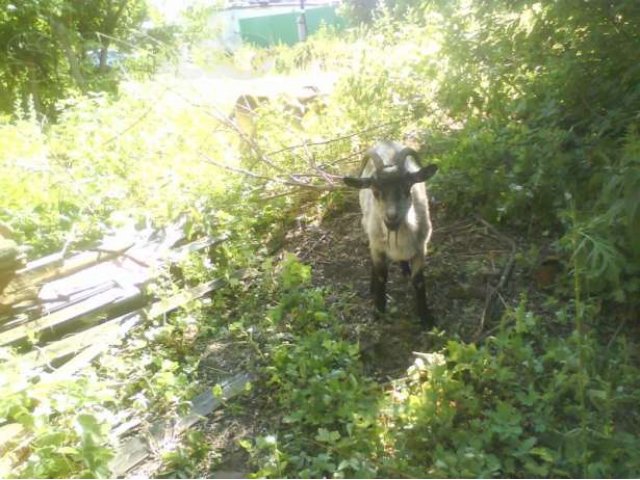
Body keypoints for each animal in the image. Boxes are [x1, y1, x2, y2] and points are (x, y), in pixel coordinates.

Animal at [342, 140, 438, 326]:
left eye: (408, 187)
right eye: (374, 190)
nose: (391, 217)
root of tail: (385, 141)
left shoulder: (421, 248)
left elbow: (418, 281)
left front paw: (425, 317)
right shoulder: (377, 246)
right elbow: (381, 276)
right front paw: (379, 311)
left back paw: (405, 269)